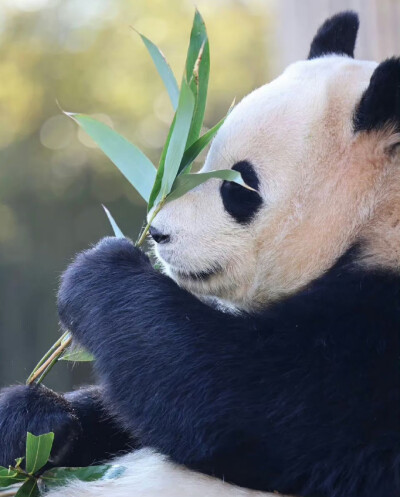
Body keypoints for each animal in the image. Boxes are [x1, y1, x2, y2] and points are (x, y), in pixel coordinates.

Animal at [0, 10, 400, 496]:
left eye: (238, 186)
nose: (157, 232)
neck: (376, 214)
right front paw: (36, 419)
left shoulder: (377, 346)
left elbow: (247, 399)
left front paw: (98, 272)